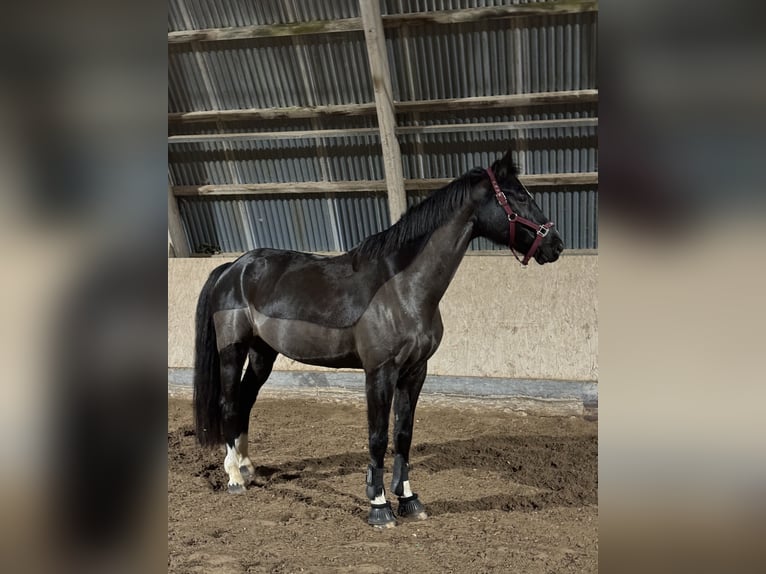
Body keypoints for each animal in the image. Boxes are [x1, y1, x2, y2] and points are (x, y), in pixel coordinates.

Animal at [192, 150, 564, 532]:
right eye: (519, 197)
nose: (556, 245)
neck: (402, 288)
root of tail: (233, 268)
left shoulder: (415, 372)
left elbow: (403, 435)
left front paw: (410, 500)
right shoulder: (379, 373)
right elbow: (378, 436)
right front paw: (379, 505)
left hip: (263, 353)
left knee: (246, 401)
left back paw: (247, 466)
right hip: (232, 351)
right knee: (229, 403)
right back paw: (234, 477)